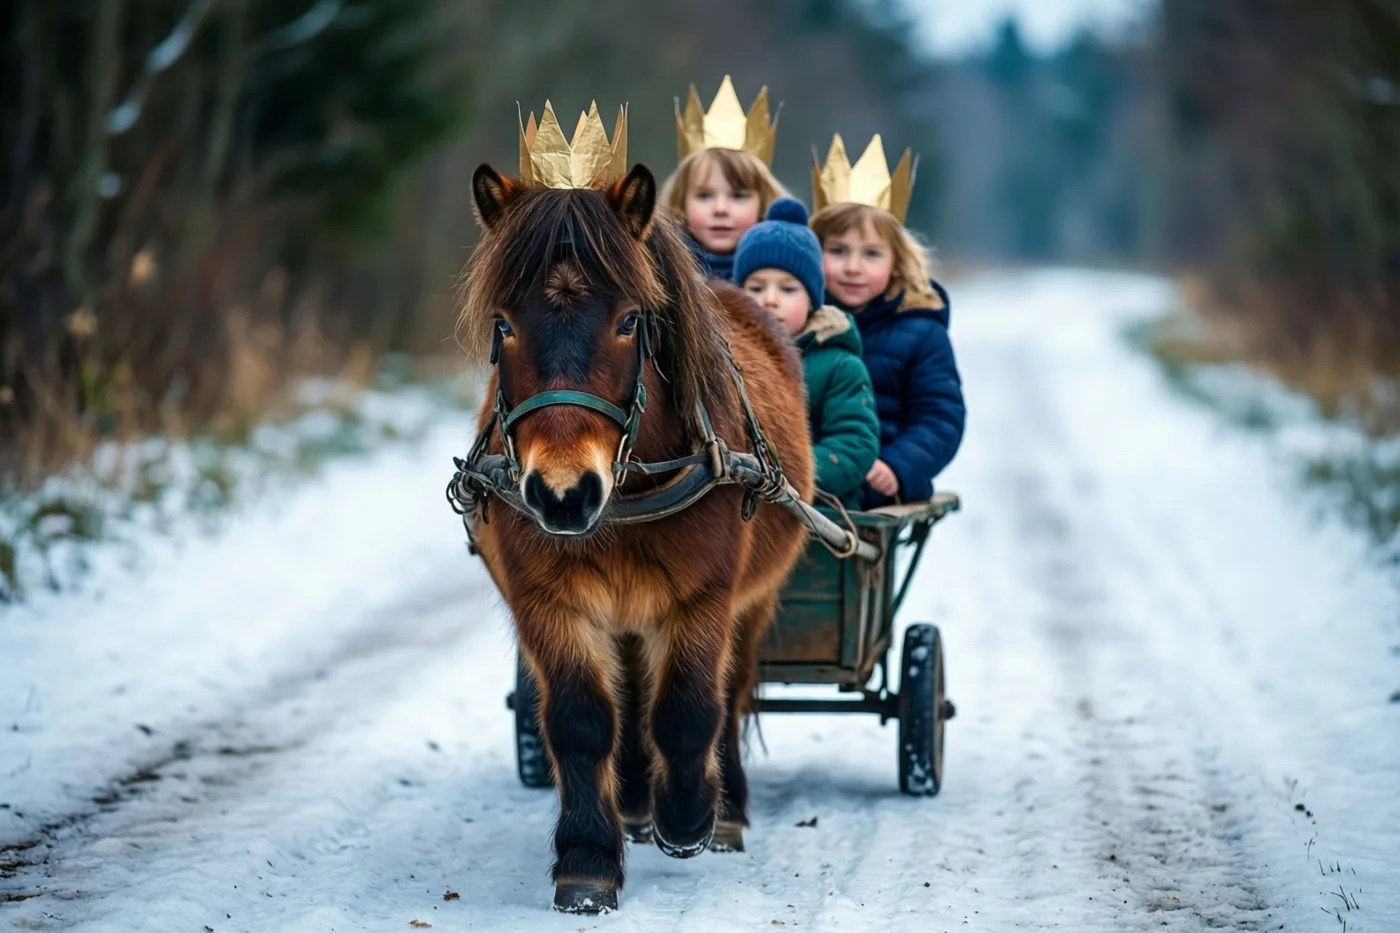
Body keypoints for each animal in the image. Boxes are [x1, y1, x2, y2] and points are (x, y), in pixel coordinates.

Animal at [457, 161, 814, 913]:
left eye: (629, 321)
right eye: (503, 323)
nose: (564, 493)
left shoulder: (703, 600)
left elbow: (688, 710)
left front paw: (689, 816)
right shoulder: (549, 604)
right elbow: (582, 720)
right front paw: (588, 857)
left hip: (753, 603)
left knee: (728, 694)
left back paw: (720, 809)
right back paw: (632, 804)